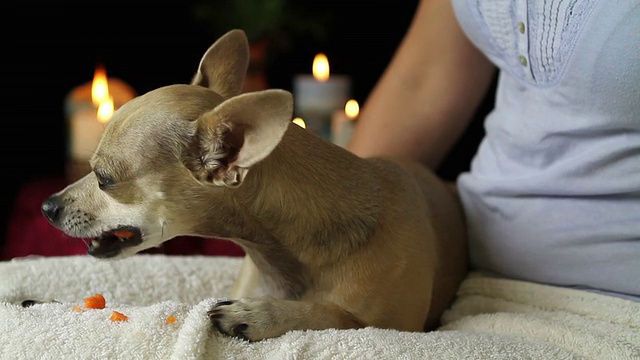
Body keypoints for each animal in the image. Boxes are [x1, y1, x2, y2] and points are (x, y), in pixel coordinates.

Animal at [42, 29, 468, 342]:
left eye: (104, 179)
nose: (47, 206)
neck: (281, 259)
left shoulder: (400, 329)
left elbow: (337, 316)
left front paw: (263, 314)